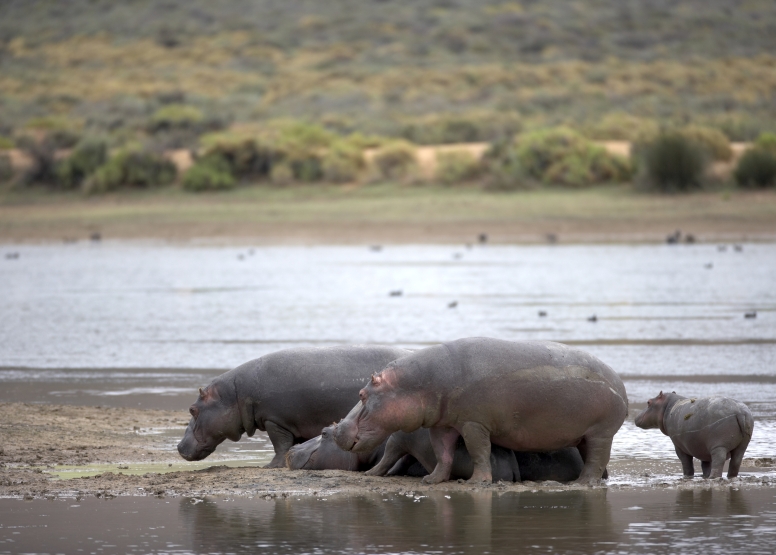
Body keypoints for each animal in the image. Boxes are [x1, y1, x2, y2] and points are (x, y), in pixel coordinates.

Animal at [179, 346, 412, 466]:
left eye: (192, 409)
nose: (179, 446)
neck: (233, 394)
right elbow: (293, 445)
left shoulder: (275, 420)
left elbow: (280, 445)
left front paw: (271, 466)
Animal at [332, 336, 624, 484]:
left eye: (362, 394)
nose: (335, 428)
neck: (417, 384)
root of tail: (619, 383)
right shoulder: (443, 425)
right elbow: (443, 453)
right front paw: (432, 480)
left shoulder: (474, 423)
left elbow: (478, 451)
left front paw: (476, 483)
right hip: (585, 436)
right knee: (597, 462)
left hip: (601, 433)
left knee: (596, 461)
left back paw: (581, 484)